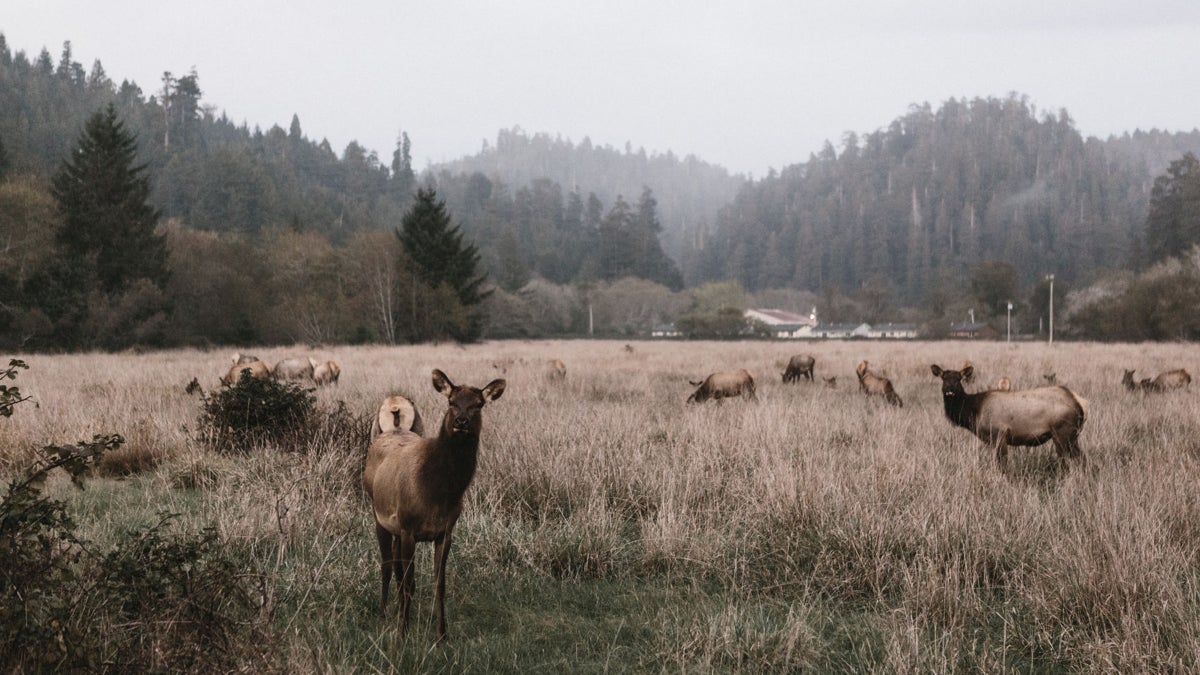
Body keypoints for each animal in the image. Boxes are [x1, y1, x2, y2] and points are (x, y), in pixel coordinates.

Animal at [357, 367, 504, 634]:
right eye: (451, 401)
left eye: (478, 404)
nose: (461, 422)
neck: (437, 493)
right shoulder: (408, 527)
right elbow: (408, 581)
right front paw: (403, 632)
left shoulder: (445, 532)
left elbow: (438, 584)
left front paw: (441, 633)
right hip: (378, 514)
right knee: (386, 565)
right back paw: (384, 612)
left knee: (396, 567)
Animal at [926, 365, 1089, 470]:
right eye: (943, 378)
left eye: (958, 378)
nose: (950, 390)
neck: (974, 412)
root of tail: (1080, 402)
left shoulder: (999, 434)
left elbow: (1002, 466)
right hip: (1073, 435)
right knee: (1082, 459)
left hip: (1062, 432)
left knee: (1067, 461)